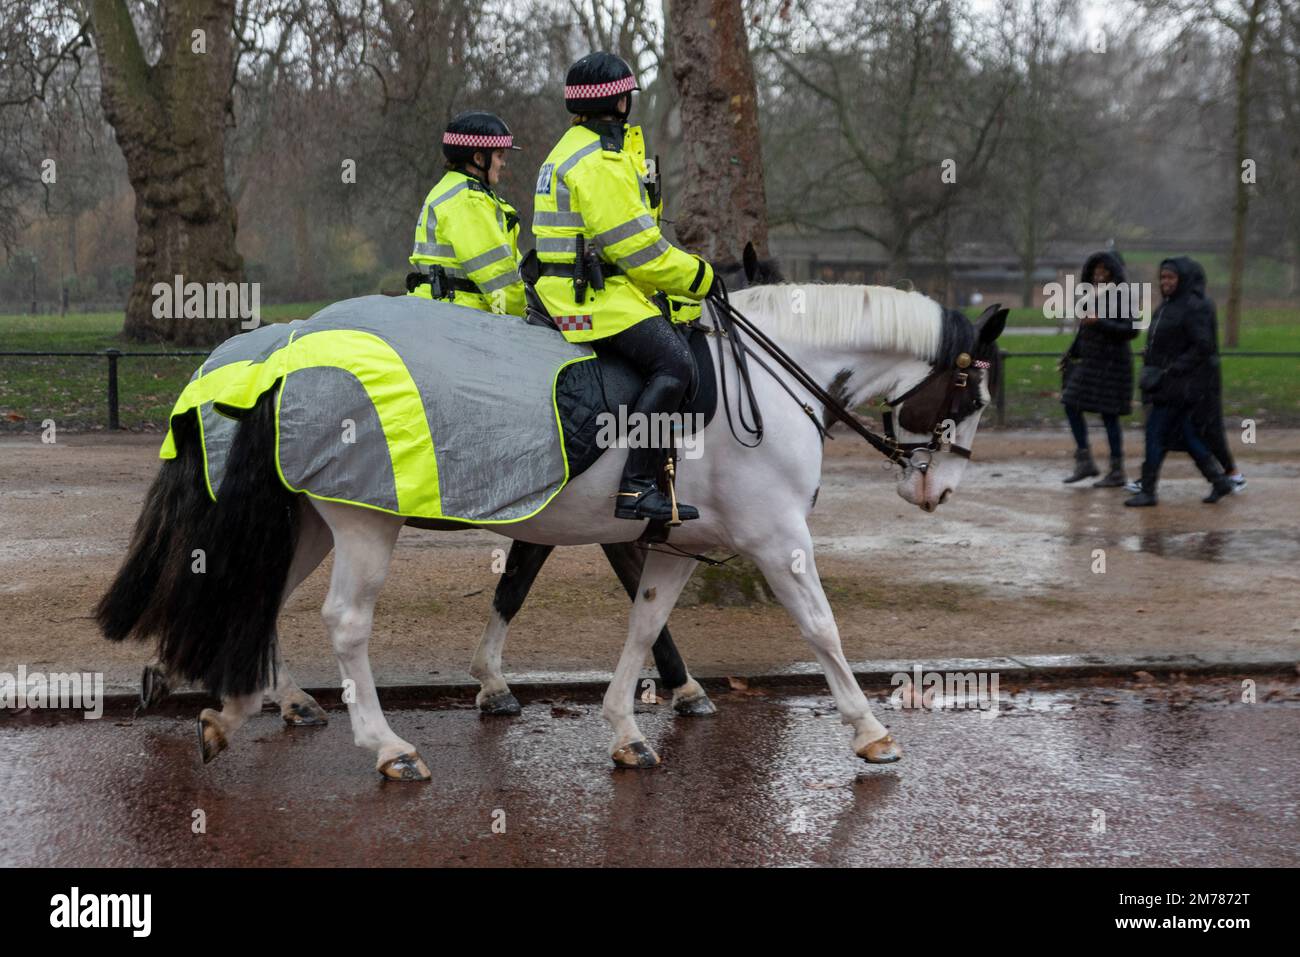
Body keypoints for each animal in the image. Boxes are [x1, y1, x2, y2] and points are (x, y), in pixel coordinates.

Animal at [101, 282, 1008, 780]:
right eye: (973, 394)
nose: (938, 488)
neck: (766, 376)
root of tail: (287, 348)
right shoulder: (775, 541)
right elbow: (822, 630)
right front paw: (872, 731)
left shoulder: (677, 546)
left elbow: (642, 624)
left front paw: (628, 726)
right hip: (363, 522)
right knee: (342, 623)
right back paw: (384, 744)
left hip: (310, 518)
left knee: (256, 594)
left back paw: (234, 705)